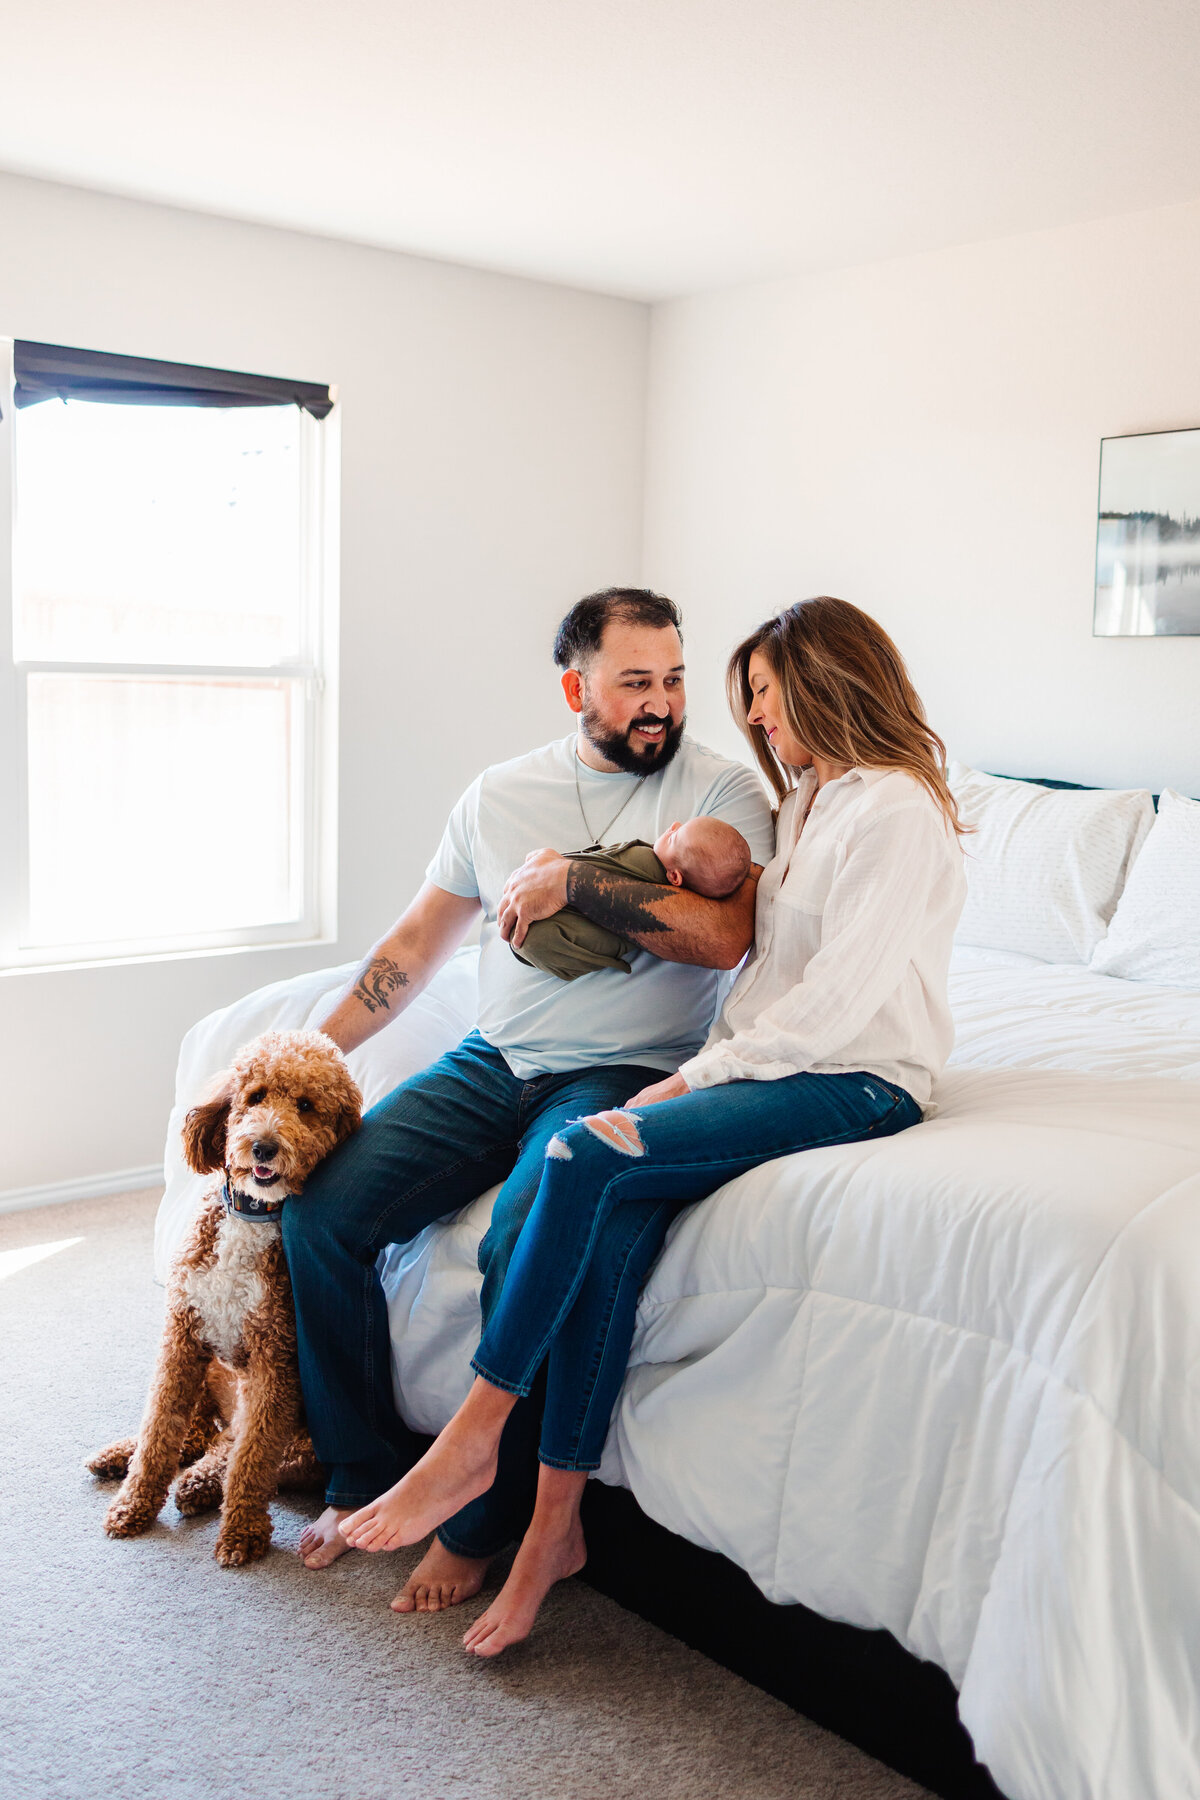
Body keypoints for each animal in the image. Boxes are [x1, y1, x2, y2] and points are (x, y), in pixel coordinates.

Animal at [89, 1029, 361, 1562]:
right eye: (254, 1096)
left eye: (306, 1105)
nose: (263, 1146)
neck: (248, 1216)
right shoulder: (182, 1338)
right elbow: (158, 1429)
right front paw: (133, 1504)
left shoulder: (273, 1361)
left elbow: (251, 1460)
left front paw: (241, 1533)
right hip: (208, 1371)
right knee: (192, 1432)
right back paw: (118, 1457)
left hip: (301, 1443)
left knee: (230, 1448)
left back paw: (199, 1485)